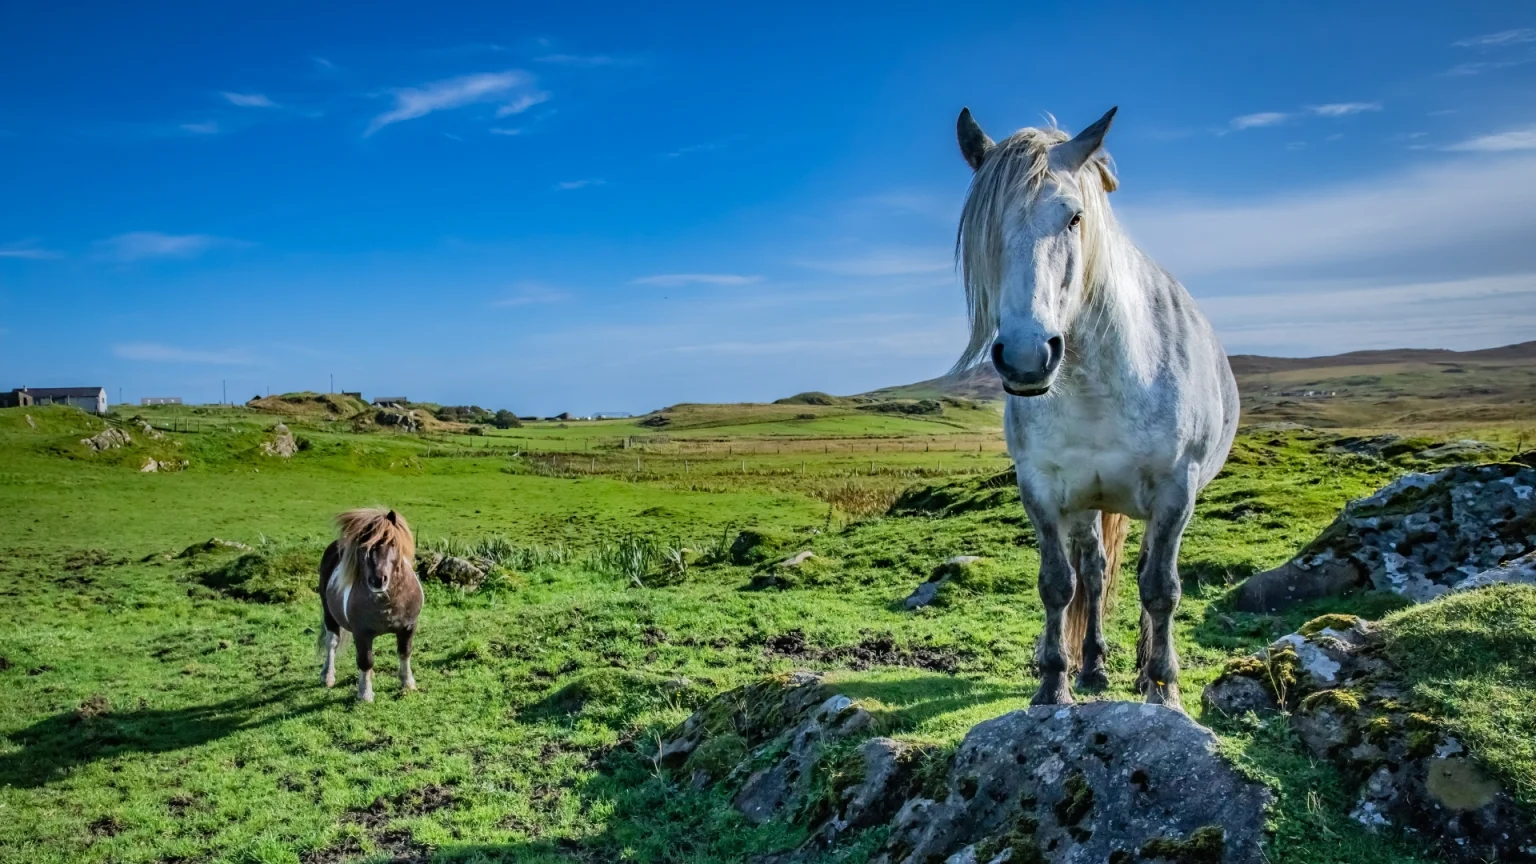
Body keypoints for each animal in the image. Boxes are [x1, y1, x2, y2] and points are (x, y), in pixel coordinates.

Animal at [318, 507, 424, 702]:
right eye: (363, 547)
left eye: (392, 543)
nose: (378, 580)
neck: (388, 602)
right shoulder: (362, 632)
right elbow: (365, 660)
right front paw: (365, 693)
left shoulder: (408, 627)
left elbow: (404, 652)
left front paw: (408, 683)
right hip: (329, 614)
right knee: (332, 643)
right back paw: (327, 676)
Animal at [952, 106, 1239, 709]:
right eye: (988, 230)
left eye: (1074, 218)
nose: (1027, 357)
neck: (1100, 383)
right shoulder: (1040, 488)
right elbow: (1058, 584)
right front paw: (1053, 684)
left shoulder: (1176, 493)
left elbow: (1161, 589)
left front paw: (1165, 691)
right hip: (1088, 504)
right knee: (1096, 575)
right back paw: (1093, 668)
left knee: (1146, 576)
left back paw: (1144, 674)